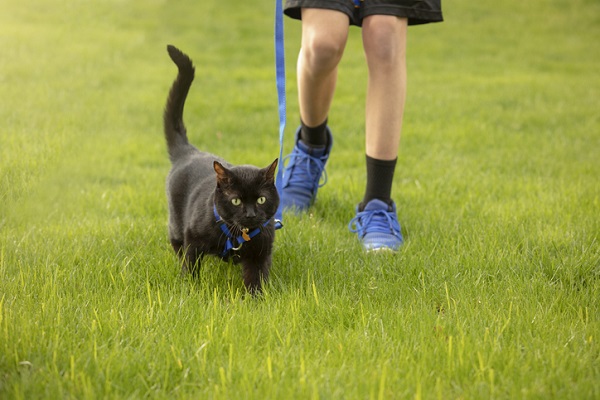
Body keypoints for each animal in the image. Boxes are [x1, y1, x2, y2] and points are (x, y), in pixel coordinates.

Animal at [162, 45, 278, 292]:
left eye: (261, 199)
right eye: (236, 201)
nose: (251, 214)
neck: (238, 237)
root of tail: (189, 151)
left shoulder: (261, 253)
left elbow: (256, 279)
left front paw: (255, 299)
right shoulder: (193, 242)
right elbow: (190, 268)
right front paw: (190, 290)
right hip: (176, 225)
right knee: (177, 246)